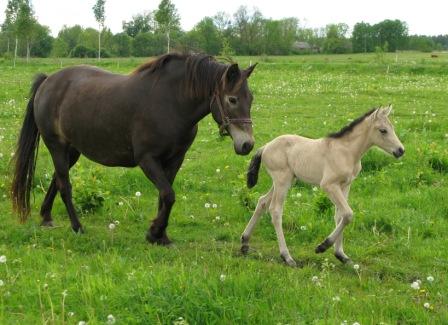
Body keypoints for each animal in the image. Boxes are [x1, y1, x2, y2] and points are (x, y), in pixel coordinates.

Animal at [12, 53, 258, 243]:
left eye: (251, 98)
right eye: (233, 99)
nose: (247, 144)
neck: (171, 103)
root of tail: (48, 81)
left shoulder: (175, 160)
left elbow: (164, 196)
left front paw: (160, 235)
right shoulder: (147, 159)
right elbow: (168, 194)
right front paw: (155, 232)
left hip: (72, 151)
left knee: (56, 179)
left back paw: (46, 217)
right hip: (56, 145)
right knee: (65, 186)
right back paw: (77, 226)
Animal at [243, 106, 404, 266]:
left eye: (392, 127)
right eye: (383, 130)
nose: (401, 150)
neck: (347, 152)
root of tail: (265, 147)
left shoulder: (345, 185)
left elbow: (340, 215)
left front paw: (341, 255)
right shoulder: (328, 185)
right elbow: (348, 214)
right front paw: (322, 246)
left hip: (285, 181)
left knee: (262, 202)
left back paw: (244, 243)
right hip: (283, 180)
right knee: (275, 210)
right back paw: (287, 257)